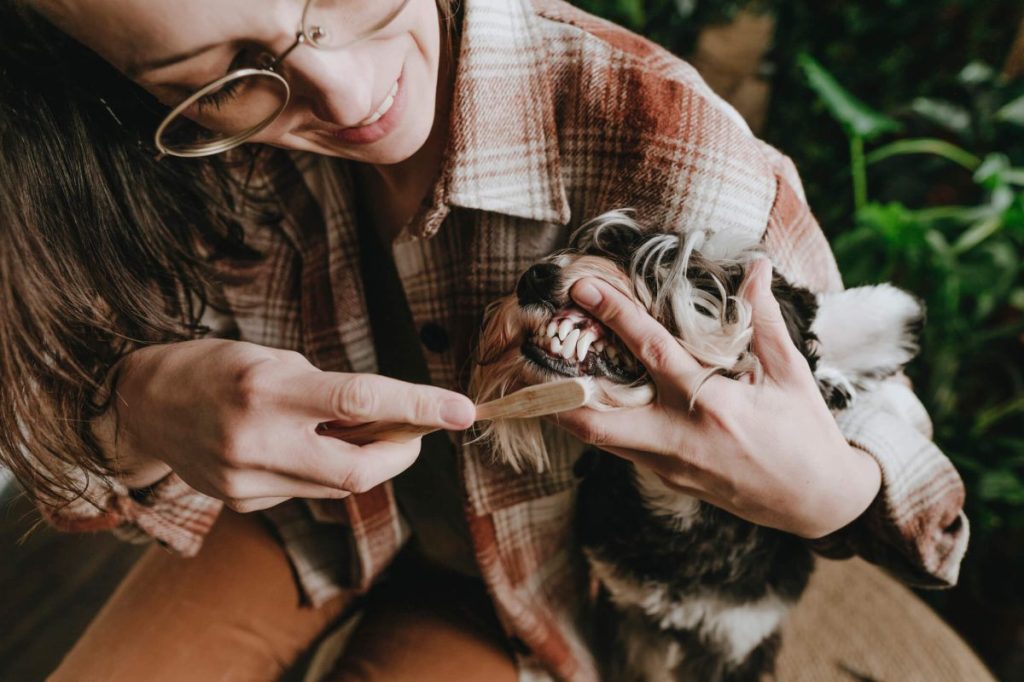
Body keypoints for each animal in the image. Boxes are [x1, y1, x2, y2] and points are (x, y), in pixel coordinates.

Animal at [468, 209, 925, 675]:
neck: (682, 513)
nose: (536, 276)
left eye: (703, 279)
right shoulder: (628, 615)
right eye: (607, 243)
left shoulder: (735, 641)